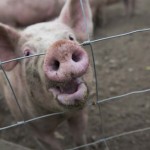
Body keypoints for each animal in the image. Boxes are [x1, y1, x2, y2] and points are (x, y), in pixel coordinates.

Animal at [0, 0, 94, 149]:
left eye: (71, 37)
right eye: (26, 53)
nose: (60, 46)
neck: (59, 115)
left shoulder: (80, 112)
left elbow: (80, 137)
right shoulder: (34, 127)